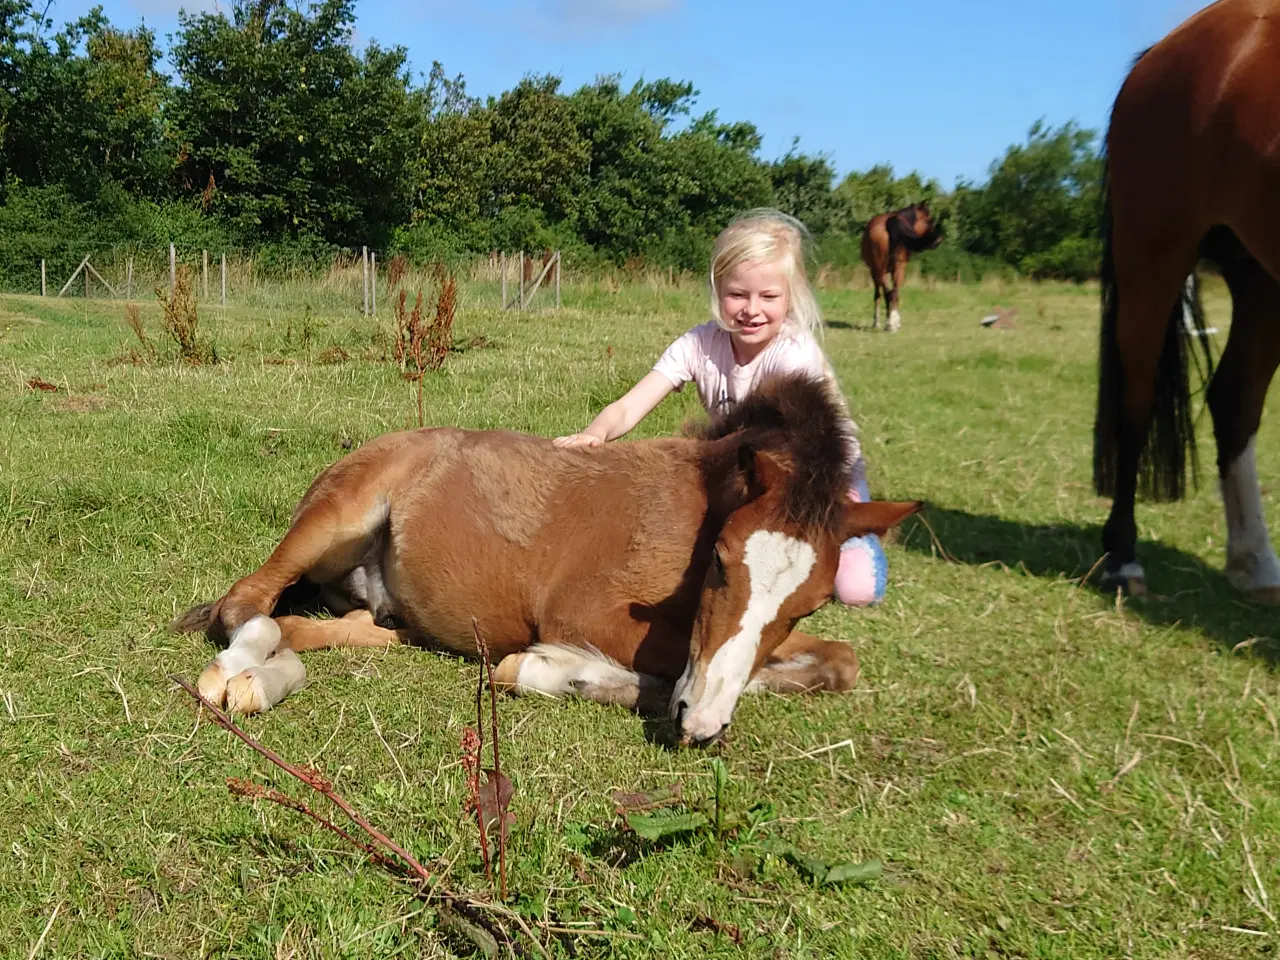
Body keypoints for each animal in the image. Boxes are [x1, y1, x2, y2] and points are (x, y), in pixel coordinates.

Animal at [177, 373, 921, 742]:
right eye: (720, 562)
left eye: (810, 606)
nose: (703, 728)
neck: (696, 507)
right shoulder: (586, 613)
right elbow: (653, 666)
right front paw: (552, 671)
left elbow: (837, 663)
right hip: (336, 518)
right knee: (247, 603)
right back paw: (241, 676)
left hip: (395, 623)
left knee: (308, 626)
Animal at [860, 200, 942, 332]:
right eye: (929, 220)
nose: (938, 241)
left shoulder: (874, 271)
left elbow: (879, 294)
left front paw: (878, 322)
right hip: (898, 266)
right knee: (894, 293)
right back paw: (893, 323)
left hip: (881, 269)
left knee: (888, 294)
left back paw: (890, 323)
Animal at [1090, 0, 1280, 601]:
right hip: (1155, 253)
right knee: (1138, 401)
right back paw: (1124, 559)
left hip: (1261, 276)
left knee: (1235, 398)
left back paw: (1255, 563)